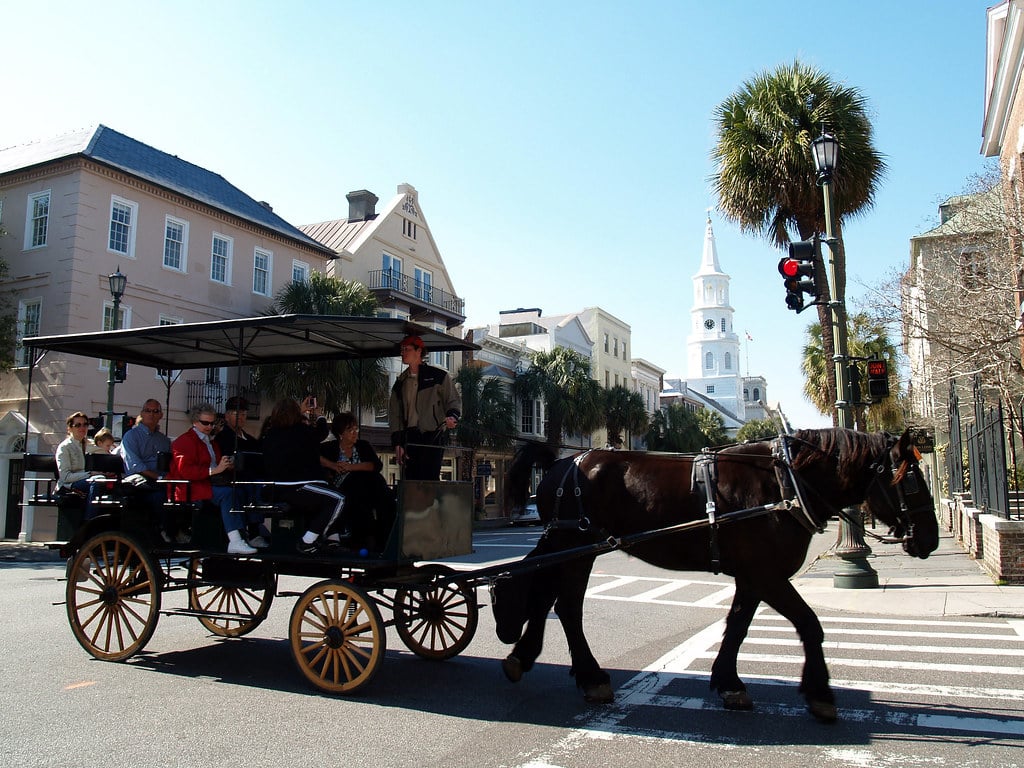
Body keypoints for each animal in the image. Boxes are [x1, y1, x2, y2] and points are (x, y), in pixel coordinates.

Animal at [493, 430, 937, 724]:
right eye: (911, 481)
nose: (930, 538)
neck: (784, 485)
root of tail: (560, 463)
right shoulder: (767, 574)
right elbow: (809, 624)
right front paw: (820, 693)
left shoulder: (753, 576)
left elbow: (738, 626)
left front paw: (730, 683)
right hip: (575, 544)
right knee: (566, 605)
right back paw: (590, 677)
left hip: (572, 546)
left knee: (544, 596)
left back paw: (525, 657)